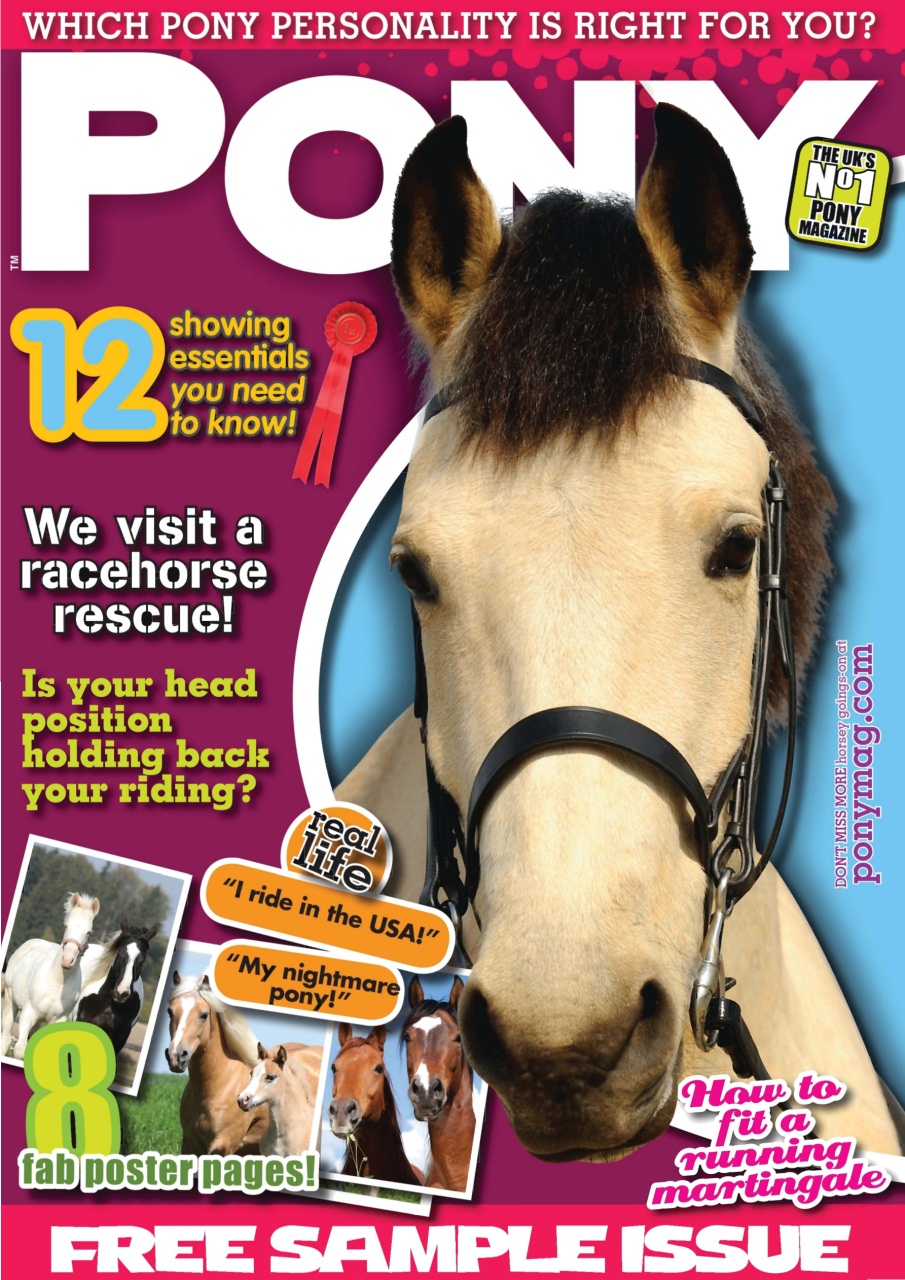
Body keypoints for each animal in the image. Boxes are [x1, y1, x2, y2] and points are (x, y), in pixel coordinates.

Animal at [1, 892, 100, 1059]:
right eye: (66, 926)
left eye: (89, 932)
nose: (67, 960)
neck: (57, 982)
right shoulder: (29, 1013)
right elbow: (20, 1050)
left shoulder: (57, 1020)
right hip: (10, 999)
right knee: (6, 1038)